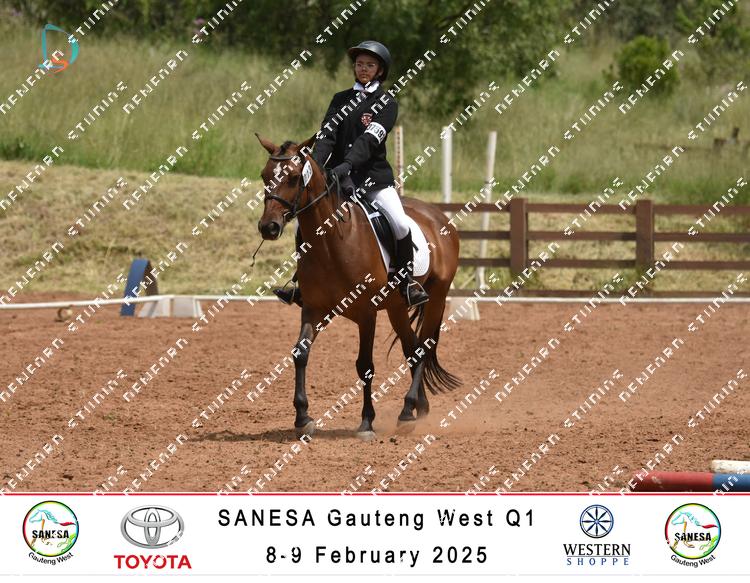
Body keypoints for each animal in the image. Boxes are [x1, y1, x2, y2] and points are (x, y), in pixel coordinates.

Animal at [255, 133, 461, 440]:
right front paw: (303, 418)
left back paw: (407, 410)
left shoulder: (367, 313)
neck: (330, 242)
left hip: (436, 298)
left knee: (422, 348)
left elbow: (364, 366)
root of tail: (438, 216)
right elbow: (300, 353)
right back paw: (416, 411)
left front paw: (366, 422)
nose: (268, 227)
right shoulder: (314, 310)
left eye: (292, 177)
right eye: (264, 175)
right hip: (397, 308)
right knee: (411, 349)